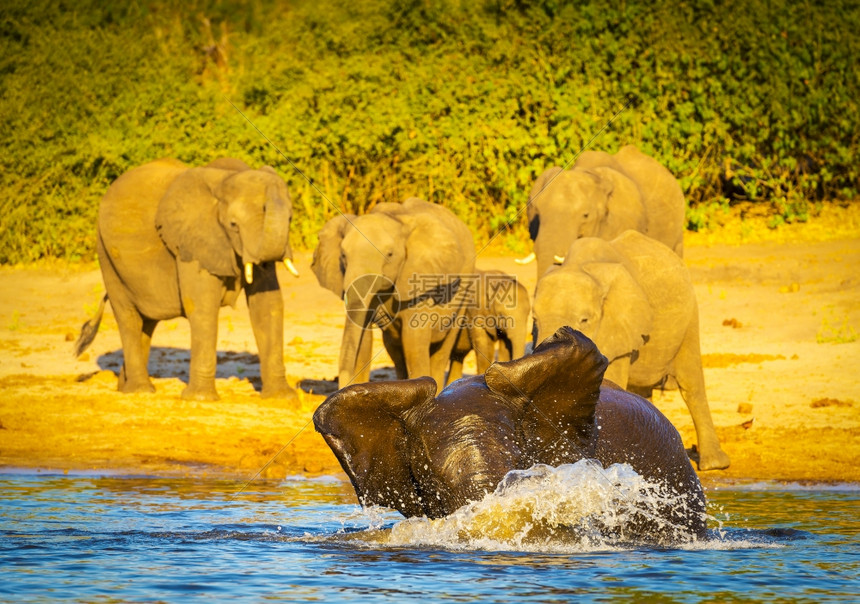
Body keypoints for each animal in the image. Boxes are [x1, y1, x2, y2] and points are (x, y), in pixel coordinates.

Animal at [74, 158, 302, 398]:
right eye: (233, 225)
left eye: (290, 219)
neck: (224, 180)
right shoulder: (192, 243)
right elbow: (202, 306)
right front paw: (200, 399)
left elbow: (267, 304)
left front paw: (282, 398)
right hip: (105, 255)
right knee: (127, 316)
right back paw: (141, 391)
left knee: (146, 323)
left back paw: (125, 388)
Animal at [312, 196, 478, 390]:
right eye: (343, 255)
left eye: (390, 255)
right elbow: (364, 341)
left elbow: (413, 341)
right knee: (395, 349)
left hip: (465, 286)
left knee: (442, 347)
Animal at [536, 229, 728, 470]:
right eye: (534, 319)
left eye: (585, 320)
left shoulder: (618, 326)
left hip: (690, 316)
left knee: (691, 382)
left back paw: (714, 465)